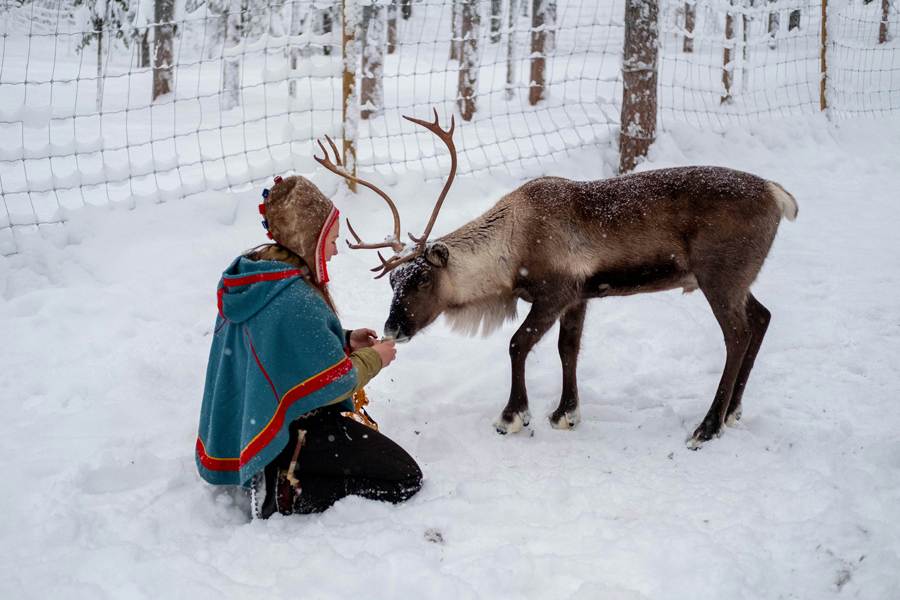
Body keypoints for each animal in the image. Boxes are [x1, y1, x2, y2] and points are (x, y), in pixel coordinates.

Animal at [315, 109, 798, 449]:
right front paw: (566, 413)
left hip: (719, 276)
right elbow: (569, 348)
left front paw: (513, 416)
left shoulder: (555, 293)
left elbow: (517, 344)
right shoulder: (580, 296)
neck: (511, 249)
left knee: (736, 334)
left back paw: (707, 427)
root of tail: (780, 196)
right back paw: (733, 412)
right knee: (762, 317)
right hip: (738, 280)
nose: (392, 328)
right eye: (391, 282)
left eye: (421, 281)